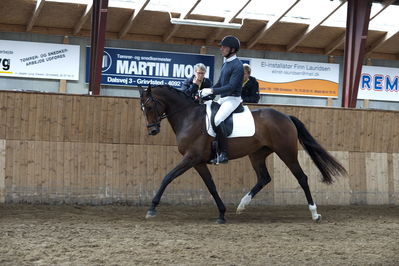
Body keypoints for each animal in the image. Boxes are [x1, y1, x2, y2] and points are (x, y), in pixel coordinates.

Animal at [140, 85, 346, 222]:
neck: (189, 117)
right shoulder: (198, 162)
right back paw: (242, 205)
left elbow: (167, 177)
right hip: (257, 154)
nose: (152, 130)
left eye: (149, 107)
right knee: (264, 178)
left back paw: (314, 213)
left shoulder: (191, 158)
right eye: (142, 109)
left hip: (286, 152)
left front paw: (151, 208)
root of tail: (286, 117)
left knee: (302, 178)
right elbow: (211, 186)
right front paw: (222, 213)